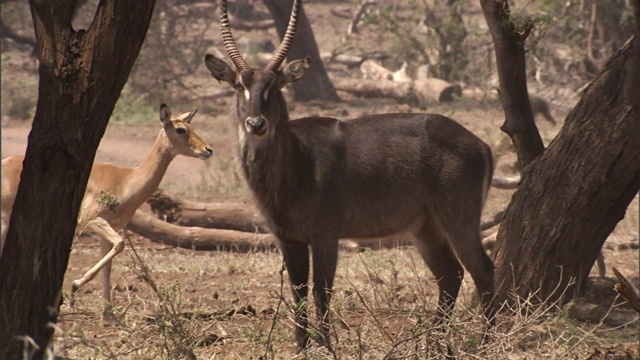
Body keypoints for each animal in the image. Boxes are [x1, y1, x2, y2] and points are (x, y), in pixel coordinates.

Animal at [0, 104, 215, 304]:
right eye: (180, 129)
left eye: (191, 126)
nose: (208, 149)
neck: (126, 181)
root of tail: (4, 163)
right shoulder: (92, 219)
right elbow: (120, 245)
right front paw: (75, 285)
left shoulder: (111, 227)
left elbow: (110, 265)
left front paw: (109, 314)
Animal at [205, 0, 496, 348]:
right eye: (239, 85)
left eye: (275, 86)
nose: (256, 124)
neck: (295, 164)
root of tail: (481, 144)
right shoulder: (287, 238)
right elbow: (298, 293)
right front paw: (301, 347)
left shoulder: (326, 234)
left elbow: (321, 291)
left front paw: (325, 346)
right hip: (424, 227)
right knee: (451, 275)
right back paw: (434, 341)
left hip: (458, 217)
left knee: (483, 270)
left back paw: (485, 341)